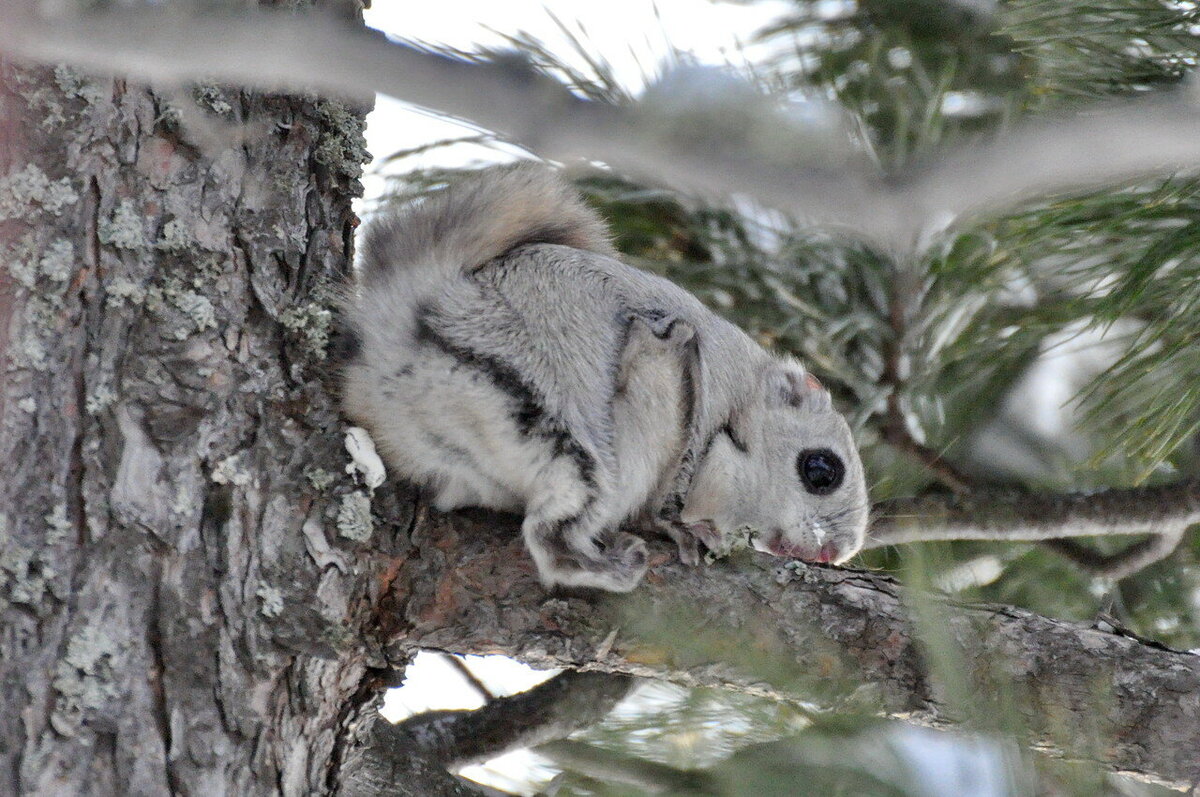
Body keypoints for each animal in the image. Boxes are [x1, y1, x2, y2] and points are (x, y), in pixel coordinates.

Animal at [333, 163, 868, 590]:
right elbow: (670, 497)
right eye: (821, 470)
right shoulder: (682, 385)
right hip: (575, 441)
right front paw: (682, 528)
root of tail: (406, 340)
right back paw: (610, 565)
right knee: (551, 537)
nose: (835, 552)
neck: (740, 402)